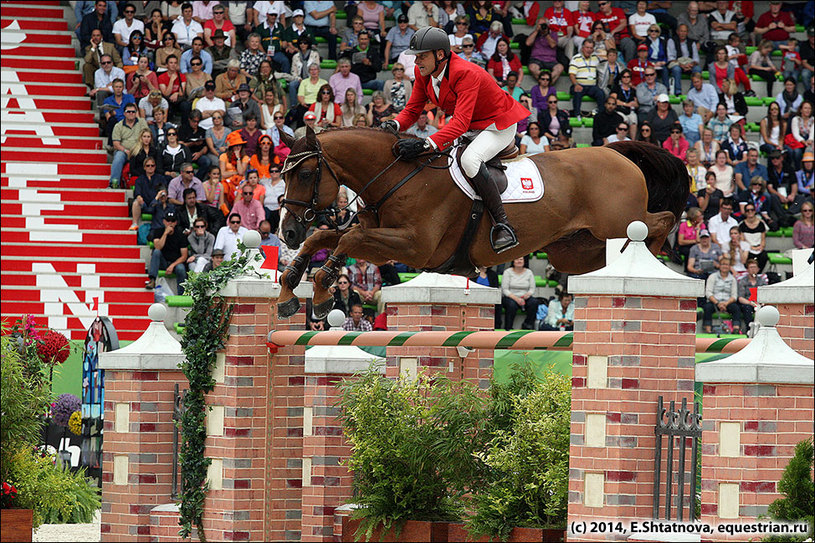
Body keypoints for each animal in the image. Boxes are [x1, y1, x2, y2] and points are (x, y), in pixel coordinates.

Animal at [274, 127, 688, 318]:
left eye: (306, 174)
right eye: (283, 174)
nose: (287, 231)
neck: (396, 177)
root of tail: (617, 153)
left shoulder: (413, 245)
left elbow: (344, 241)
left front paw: (322, 294)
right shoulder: (382, 241)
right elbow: (323, 237)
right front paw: (288, 289)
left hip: (618, 223)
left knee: (660, 221)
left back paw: (650, 259)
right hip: (573, 248)